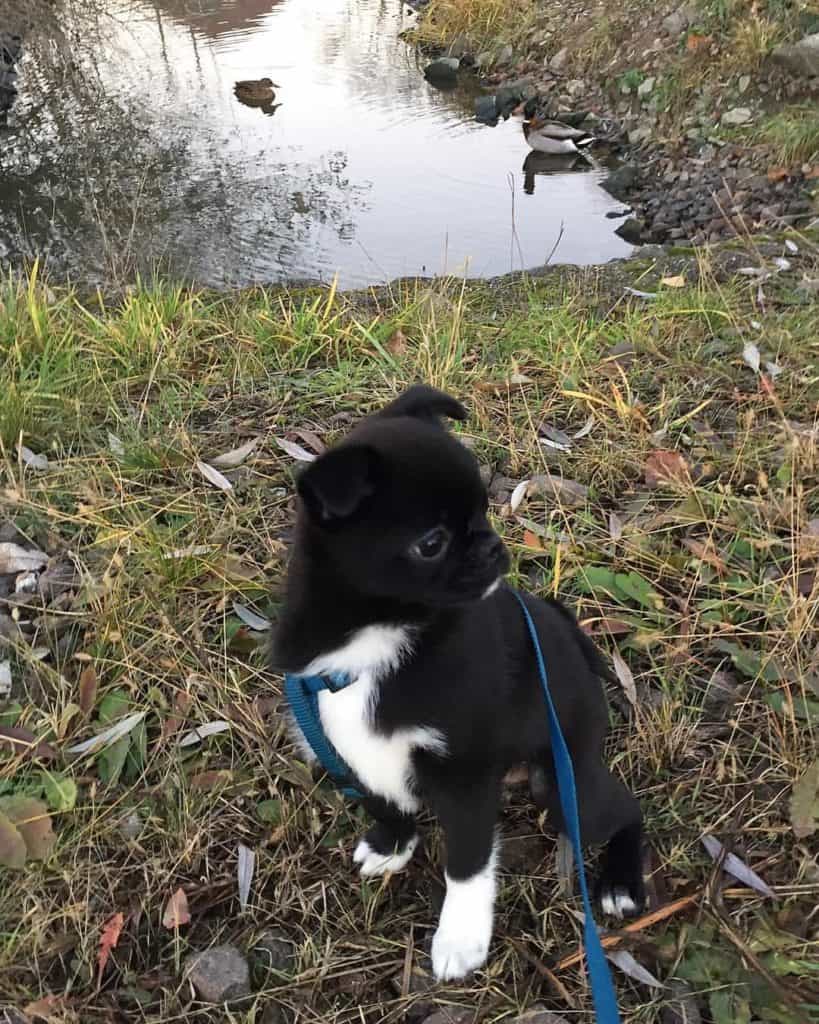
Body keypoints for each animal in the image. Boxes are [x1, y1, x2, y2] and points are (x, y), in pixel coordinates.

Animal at [274, 385, 647, 983]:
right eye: (432, 543)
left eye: (485, 510)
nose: (494, 547)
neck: (381, 636)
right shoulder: (351, 747)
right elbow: (382, 799)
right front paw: (393, 843)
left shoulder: (465, 778)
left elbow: (467, 863)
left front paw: (461, 937)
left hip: (565, 786)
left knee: (626, 810)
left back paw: (619, 882)